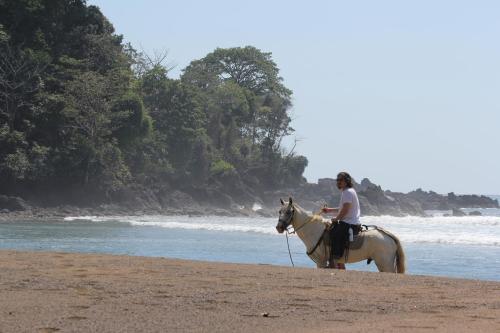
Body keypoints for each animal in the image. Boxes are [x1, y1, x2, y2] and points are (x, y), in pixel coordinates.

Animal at [278, 197, 406, 272]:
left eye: (289, 212)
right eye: (279, 211)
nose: (278, 227)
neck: (314, 231)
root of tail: (388, 236)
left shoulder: (321, 262)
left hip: (385, 265)